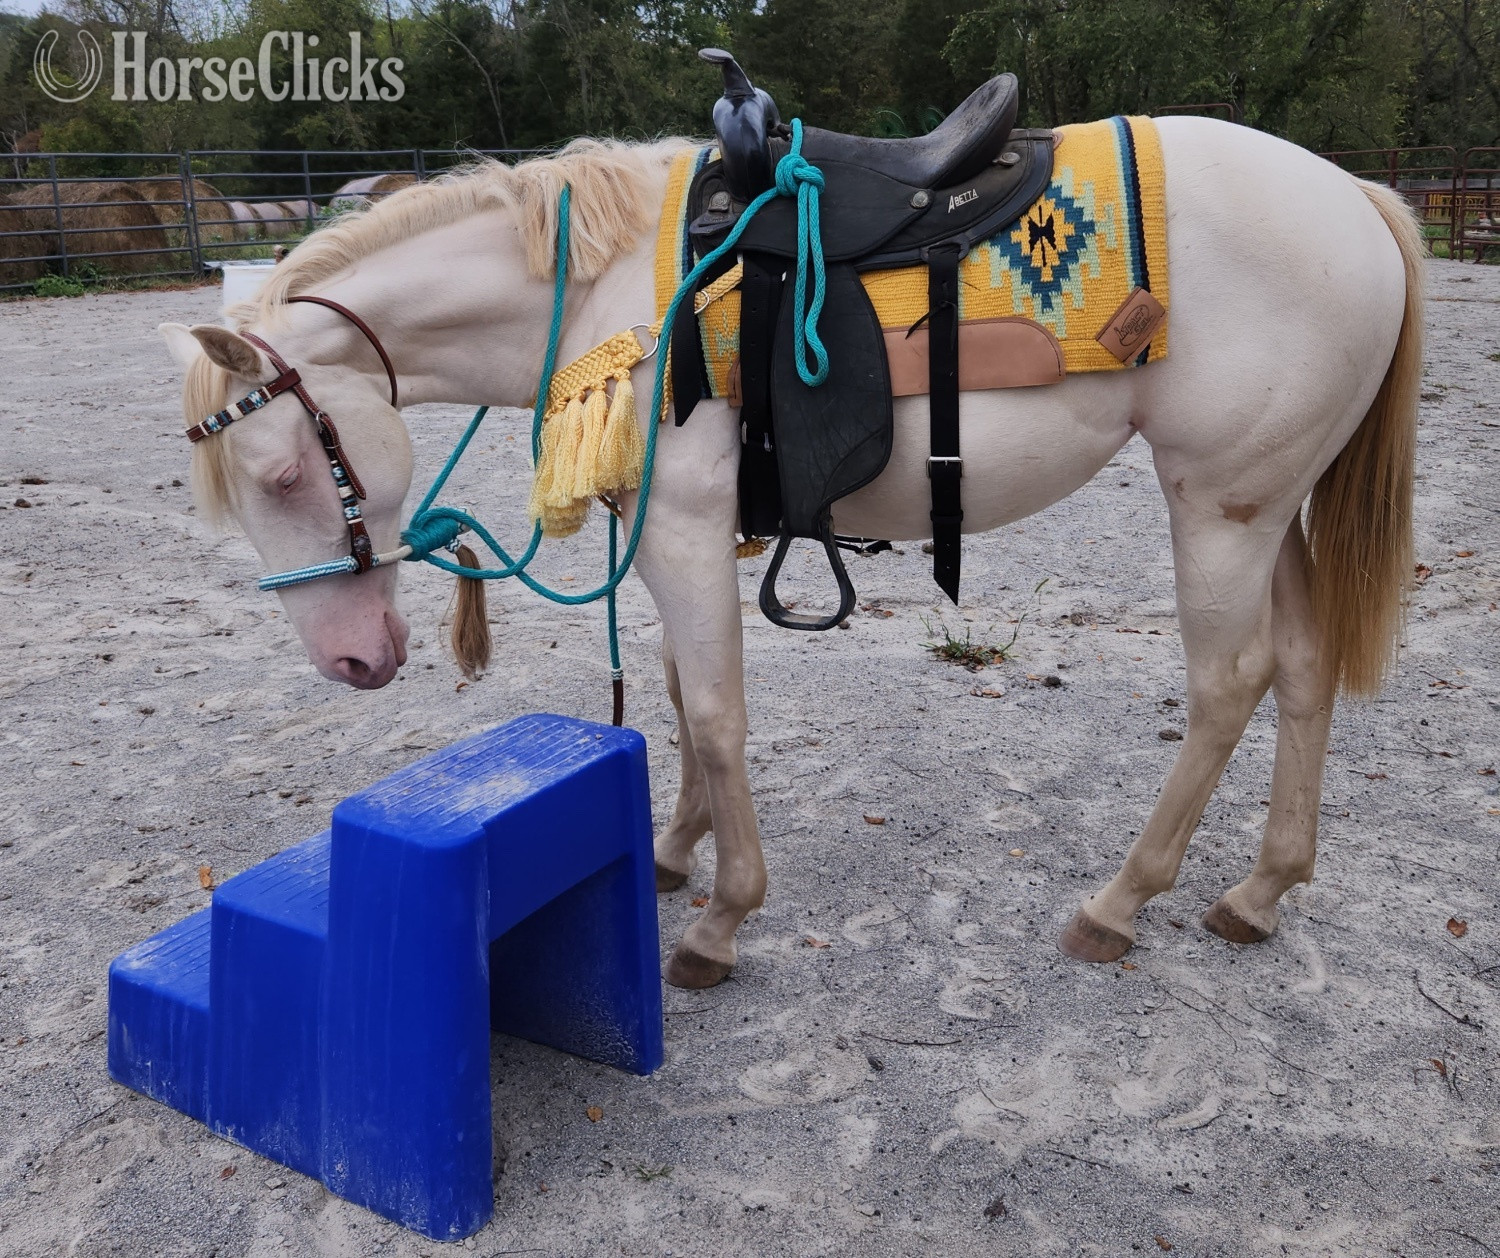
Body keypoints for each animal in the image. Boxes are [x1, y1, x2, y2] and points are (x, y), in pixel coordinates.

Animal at [158, 117, 1423, 989]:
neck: (608, 288)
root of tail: (1357, 198)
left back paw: (1120, 901)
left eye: (280, 476)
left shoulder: (680, 529)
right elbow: (677, 697)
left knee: (1228, 685)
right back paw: (1260, 889)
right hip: (1272, 507)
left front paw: (721, 919)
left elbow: (717, 715)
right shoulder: (667, 538)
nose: (355, 662)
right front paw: (672, 854)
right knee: (1303, 670)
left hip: (1219, 511)